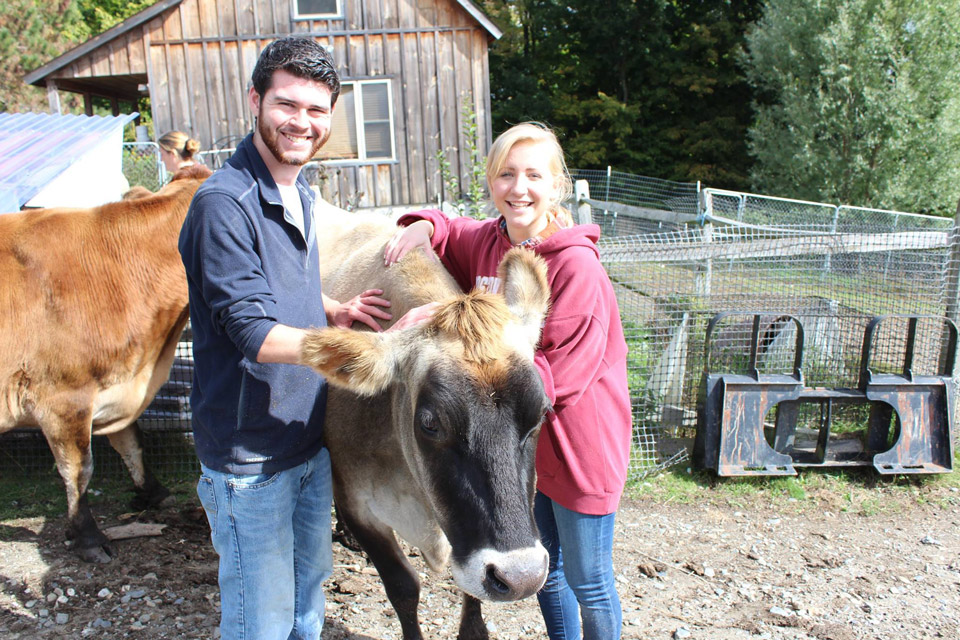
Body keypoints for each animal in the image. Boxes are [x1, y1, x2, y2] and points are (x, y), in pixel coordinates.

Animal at [0, 165, 211, 560]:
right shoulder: (63, 397)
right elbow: (78, 470)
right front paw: (87, 535)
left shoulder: (115, 384)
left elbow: (131, 442)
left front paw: (152, 492)